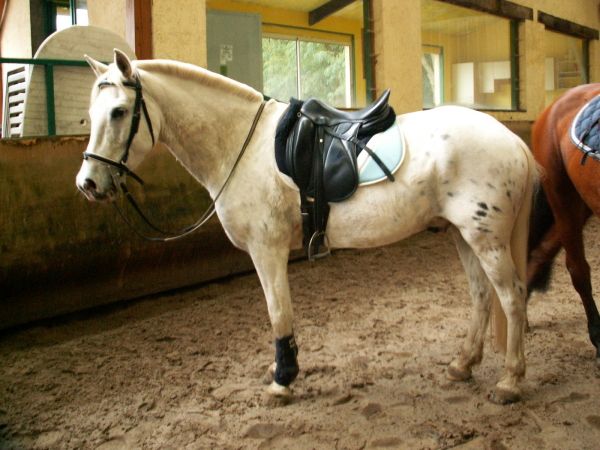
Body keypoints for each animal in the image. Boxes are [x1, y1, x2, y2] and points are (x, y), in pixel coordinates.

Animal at [76, 49, 537, 404]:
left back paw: (510, 382)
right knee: (481, 296)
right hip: (463, 235)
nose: (88, 184)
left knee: (512, 298)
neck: (242, 144)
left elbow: (279, 312)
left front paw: (283, 380)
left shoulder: (267, 249)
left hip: (486, 239)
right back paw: (462, 365)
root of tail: (513, 140)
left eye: (119, 112)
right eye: (90, 114)